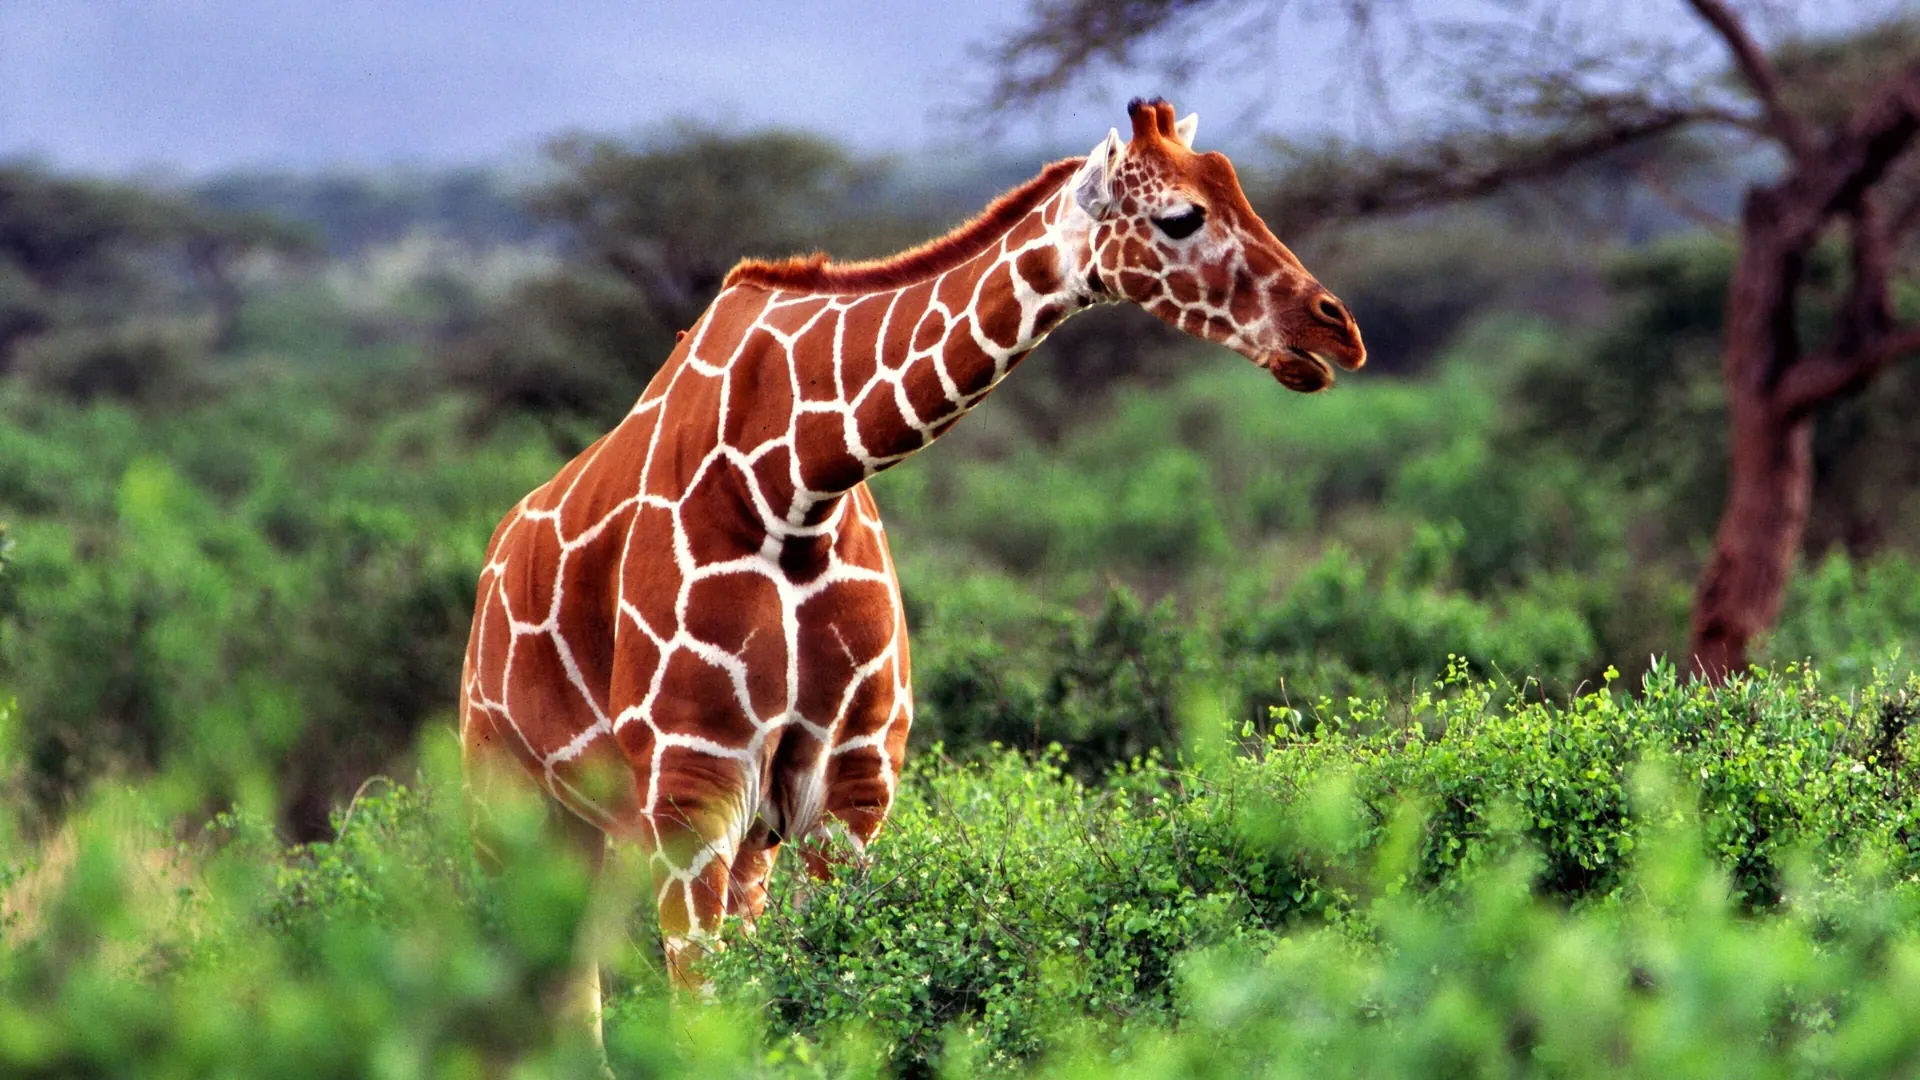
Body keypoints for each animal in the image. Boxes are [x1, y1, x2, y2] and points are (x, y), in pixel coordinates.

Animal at [458, 97, 1365, 1015]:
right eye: (1182, 217)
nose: (1337, 331)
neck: (791, 488)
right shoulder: (688, 787)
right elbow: (702, 1007)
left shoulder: (852, 785)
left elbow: (829, 987)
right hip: (514, 804)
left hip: (708, 839)